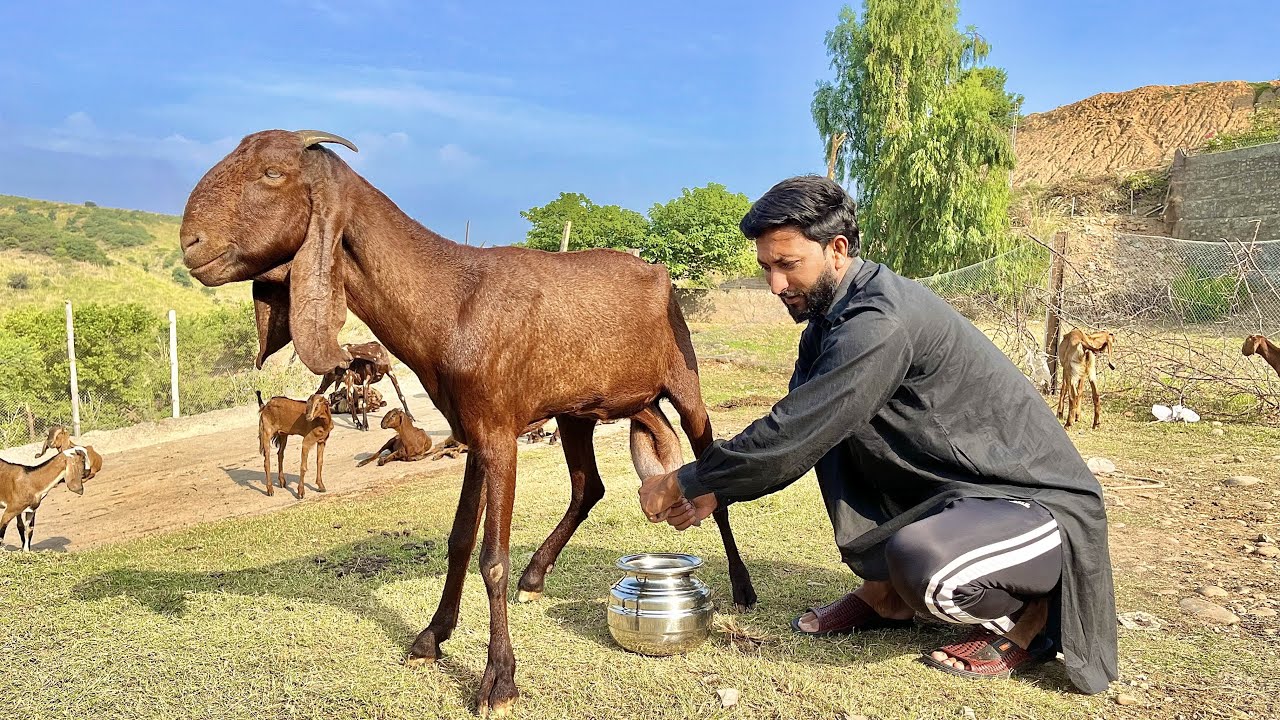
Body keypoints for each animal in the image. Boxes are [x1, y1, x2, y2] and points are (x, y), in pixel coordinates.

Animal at [181, 129, 756, 716]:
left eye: (273, 172)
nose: (191, 244)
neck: (452, 302)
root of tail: (659, 274)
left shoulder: (500, 434)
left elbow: (492, 557)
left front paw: (498, 680)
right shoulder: (473, 432)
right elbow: (460, 539)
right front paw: (431, 637)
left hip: (684, 384)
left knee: (714, 478)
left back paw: (742, 587)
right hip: (582, 411)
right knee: (588, 486)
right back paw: (536, 576)